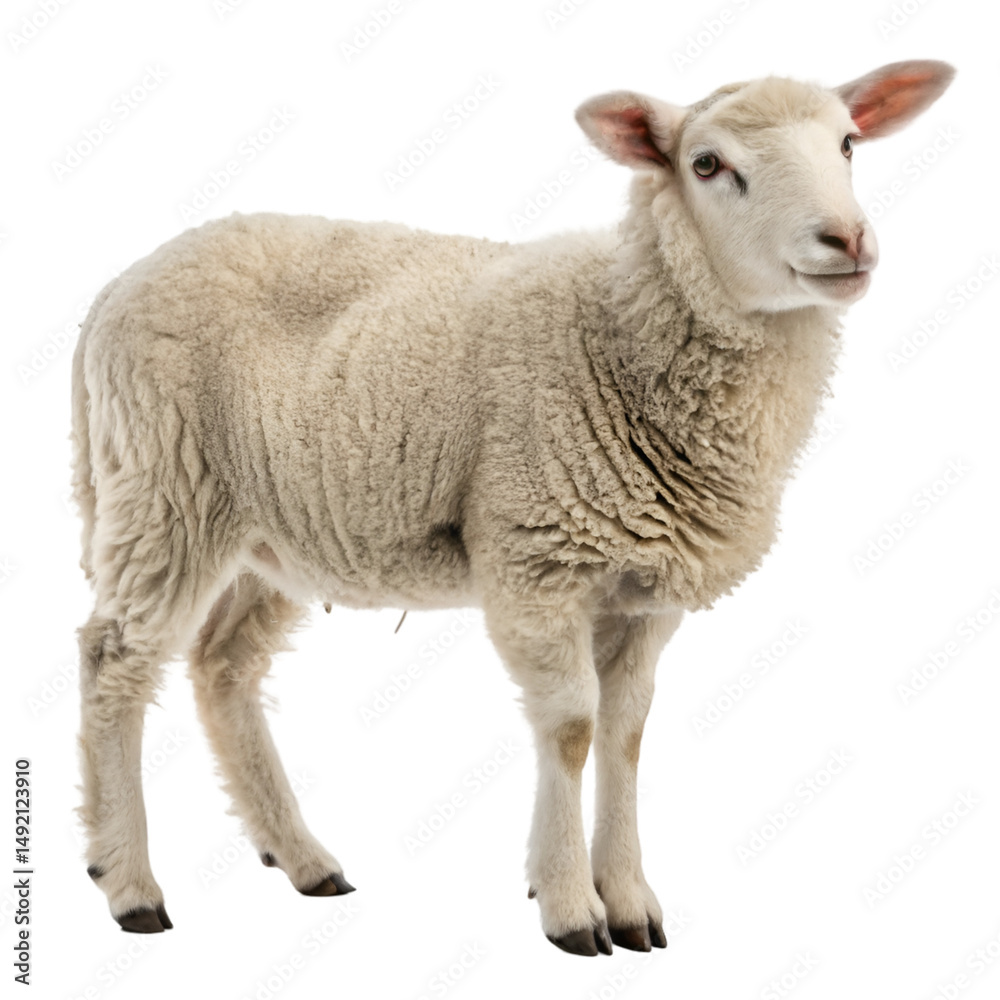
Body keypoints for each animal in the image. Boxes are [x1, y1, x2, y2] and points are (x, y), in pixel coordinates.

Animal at [71, 59, 954, 955]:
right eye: (707, 164)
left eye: (848, 143)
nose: (847, 240)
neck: (618, 334)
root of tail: (115, 287)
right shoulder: (537, 559)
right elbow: (571, 728)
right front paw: (569, 906)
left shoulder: (647, 594)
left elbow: (627, 733)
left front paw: (629, 899)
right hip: (163, 487)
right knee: (115, 660)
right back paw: (130, 885)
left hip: (276, 526)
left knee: (223, 665)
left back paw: (303, 858)